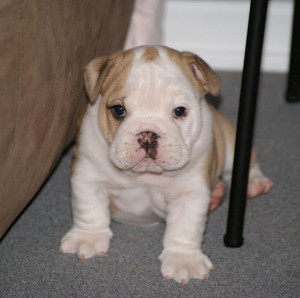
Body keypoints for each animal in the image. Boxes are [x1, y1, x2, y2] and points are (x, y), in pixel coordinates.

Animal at [60, 45, 272, 282]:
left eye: (179, 111)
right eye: (118, 110)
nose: (147, 135)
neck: (144, 176)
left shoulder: (189, 193)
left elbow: (185, 228)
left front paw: (183, 260)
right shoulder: (88, 176)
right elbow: (89, 209)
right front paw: (87, 238)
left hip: (230, 142)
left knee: (243, 163)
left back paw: (254, 183)